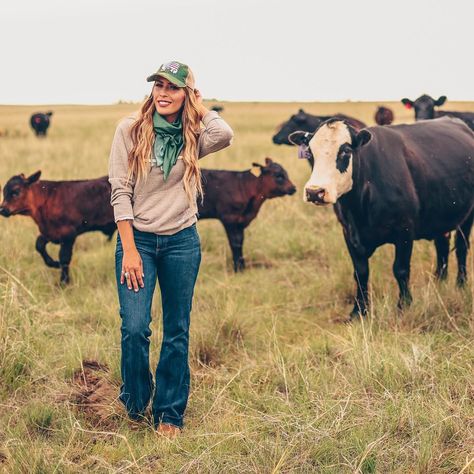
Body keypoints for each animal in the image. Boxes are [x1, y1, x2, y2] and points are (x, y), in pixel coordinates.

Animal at [290, 116, 472, 320]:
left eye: (345, 151)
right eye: (310, 152)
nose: (315, 192)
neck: (359, 208)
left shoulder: (405, 230)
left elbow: (401, 269)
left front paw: (404, 306)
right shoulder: (348, 232)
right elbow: (360, 272)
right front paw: (359, 311)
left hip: (467, 217)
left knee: (461, 249)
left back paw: (460, 285)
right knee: (442, 245)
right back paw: (440, 282)